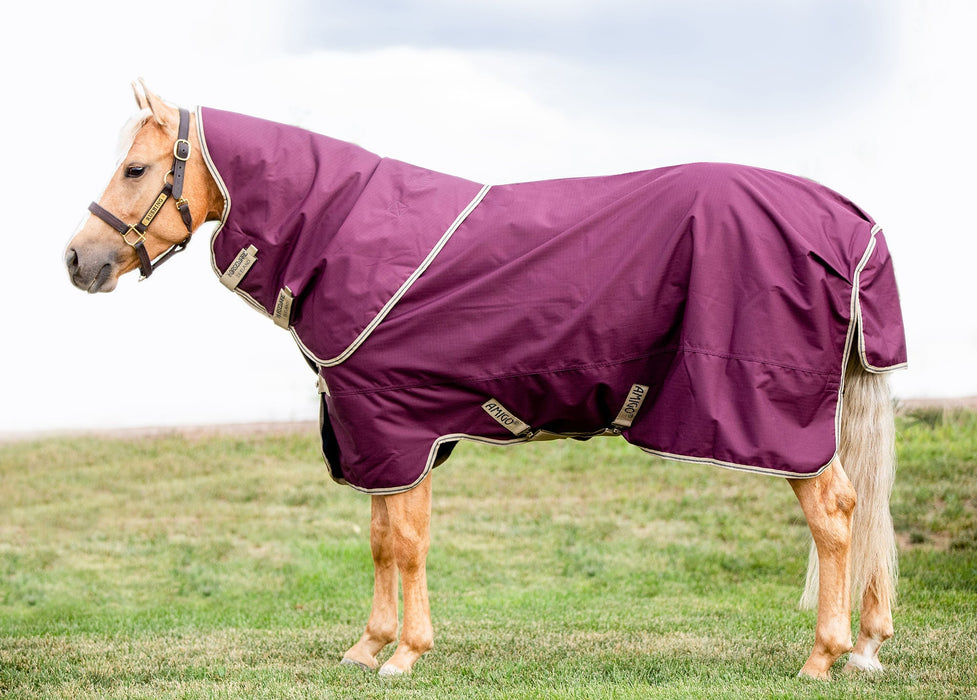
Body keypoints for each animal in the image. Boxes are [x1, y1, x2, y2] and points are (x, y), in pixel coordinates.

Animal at [65, 81, 904, 679]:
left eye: (136, 168)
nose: (78, 261)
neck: (344, 234)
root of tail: (847, 224)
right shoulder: (381, 435)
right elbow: (380, 539)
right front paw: (367, 647)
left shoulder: (394, 422)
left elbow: (406, 541)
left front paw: (405, 654)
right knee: (862, 509)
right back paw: (867, 646)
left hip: (775, 418)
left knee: (835, 513)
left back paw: (824, 656)